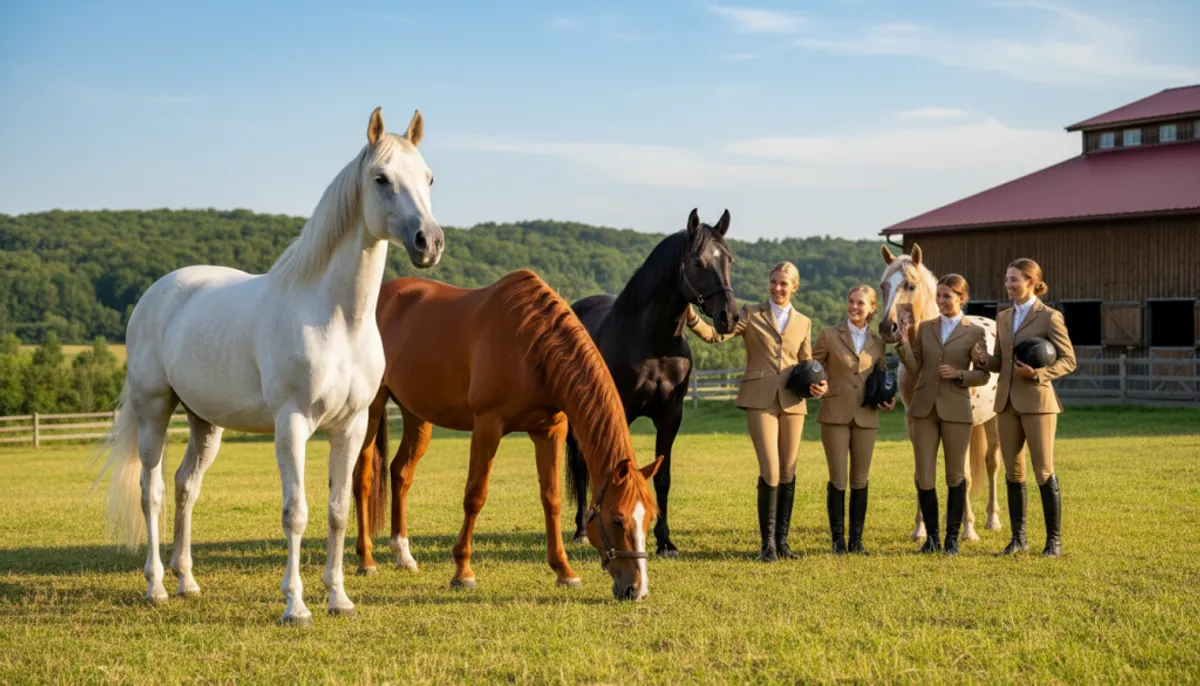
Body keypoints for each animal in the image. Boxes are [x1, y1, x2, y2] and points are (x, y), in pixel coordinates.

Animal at [92, 107, 444, 626]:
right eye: (381, 178)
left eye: (429, 178)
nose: (429, 242)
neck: (335, 317)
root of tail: (158, 292)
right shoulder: (292, 423)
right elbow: (295, 512)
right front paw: (295, 605)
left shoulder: (351, 426)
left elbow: (337, 510)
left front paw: (339, 598)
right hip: (154, 410)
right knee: (151, 490)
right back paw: (156, 586)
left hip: (205, 423)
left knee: (185, 487)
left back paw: (186, 581)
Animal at [351, 269, 663, 601]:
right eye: (617, 519)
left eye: (649, 517)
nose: (636, 589)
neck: (531, 343)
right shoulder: (488, 425)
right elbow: (475, 496)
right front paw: (463, 571)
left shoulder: (549, 431)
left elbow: (551, 498)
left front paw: (564, 571)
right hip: (371, 408)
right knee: (363, 479)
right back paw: (366, 560)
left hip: (417, 415)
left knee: (400, 473)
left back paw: (403, 555)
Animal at [564, 208, 739, 557]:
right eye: (697, 261)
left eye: (728, 259)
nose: (729, 316)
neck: (653, 342)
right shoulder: (623, 412)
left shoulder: (671, 416)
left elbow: (663, 477)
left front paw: (665, 541)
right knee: (580, 465)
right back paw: (580, 530)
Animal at [878, 243, 1004, 542]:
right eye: (882, 286)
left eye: (910, 285)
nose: (888, 328)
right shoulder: (914, 422)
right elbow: (921, 472)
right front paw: (920, 529)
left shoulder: (962, 424)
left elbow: (965, 474)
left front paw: (968, 530)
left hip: (991, 421)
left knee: (992, 463)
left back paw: (992, 519)